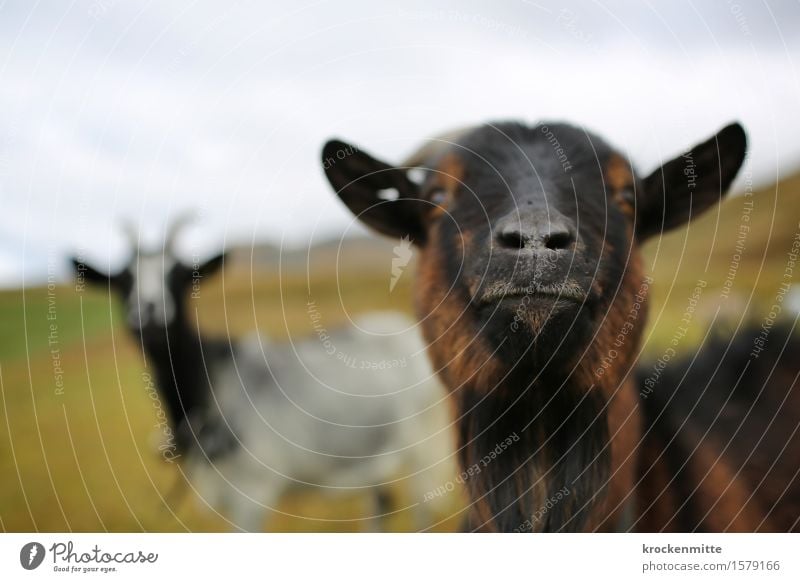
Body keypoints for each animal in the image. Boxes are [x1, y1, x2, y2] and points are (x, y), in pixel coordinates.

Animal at [73, 222, 456, 532]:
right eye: (123, 280)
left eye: (181, 276)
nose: (150, 316)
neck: (212, 378)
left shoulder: (252, 495)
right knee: (382, 503)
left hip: (424, 448)